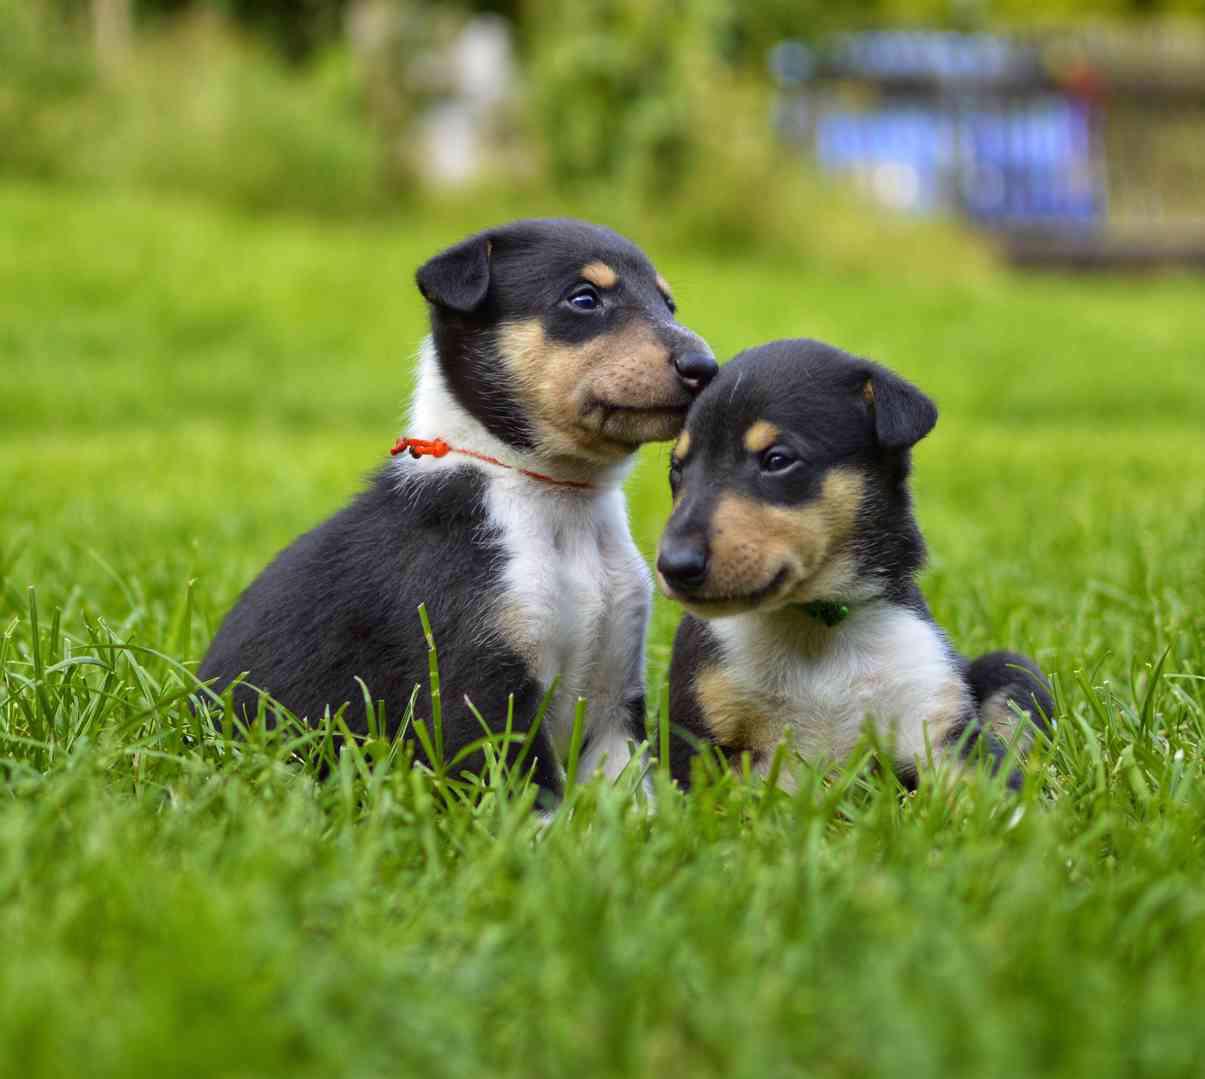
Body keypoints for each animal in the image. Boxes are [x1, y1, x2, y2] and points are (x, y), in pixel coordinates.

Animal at [197, 219, 713, 790]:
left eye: (668, 304)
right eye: (584, 298)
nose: (705, 367)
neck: (559, 500)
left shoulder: (613, 697)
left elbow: (627, 798)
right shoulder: (477, 687)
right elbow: (529, 796)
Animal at [655, 342, 1050, 790]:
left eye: (777, 459)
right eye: (677, 469)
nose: (674, 567)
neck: (814, 621)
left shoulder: (936, 719)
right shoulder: (693, 737)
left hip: (1013, 669)